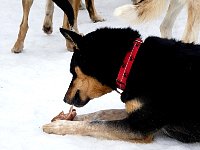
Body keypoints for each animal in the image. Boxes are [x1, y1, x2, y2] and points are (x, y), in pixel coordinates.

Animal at [43, 25, 200, 143]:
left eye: (72, 72)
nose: (64, 99)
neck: (131, 64)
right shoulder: (134, 111)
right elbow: (102, 113)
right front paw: (68, 118)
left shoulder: (139, 126)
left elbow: (96, 124)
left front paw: (58, 126)